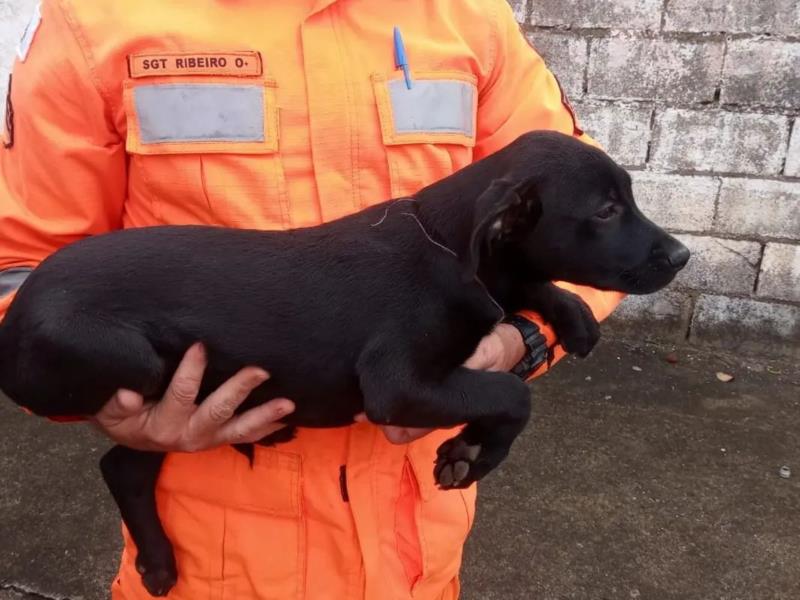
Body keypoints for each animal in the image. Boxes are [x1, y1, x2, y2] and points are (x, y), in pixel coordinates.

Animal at [0, 129, 688, 592]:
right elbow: (513, 395)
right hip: (142, 365)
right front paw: (471, 453)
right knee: (123, 459)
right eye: (605, 210)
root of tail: (14, 316)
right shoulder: (397, 383)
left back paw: (160, 560)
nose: (683, 256)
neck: (446, 246)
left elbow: (523, 285)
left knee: (125, 466)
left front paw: (570, 316)